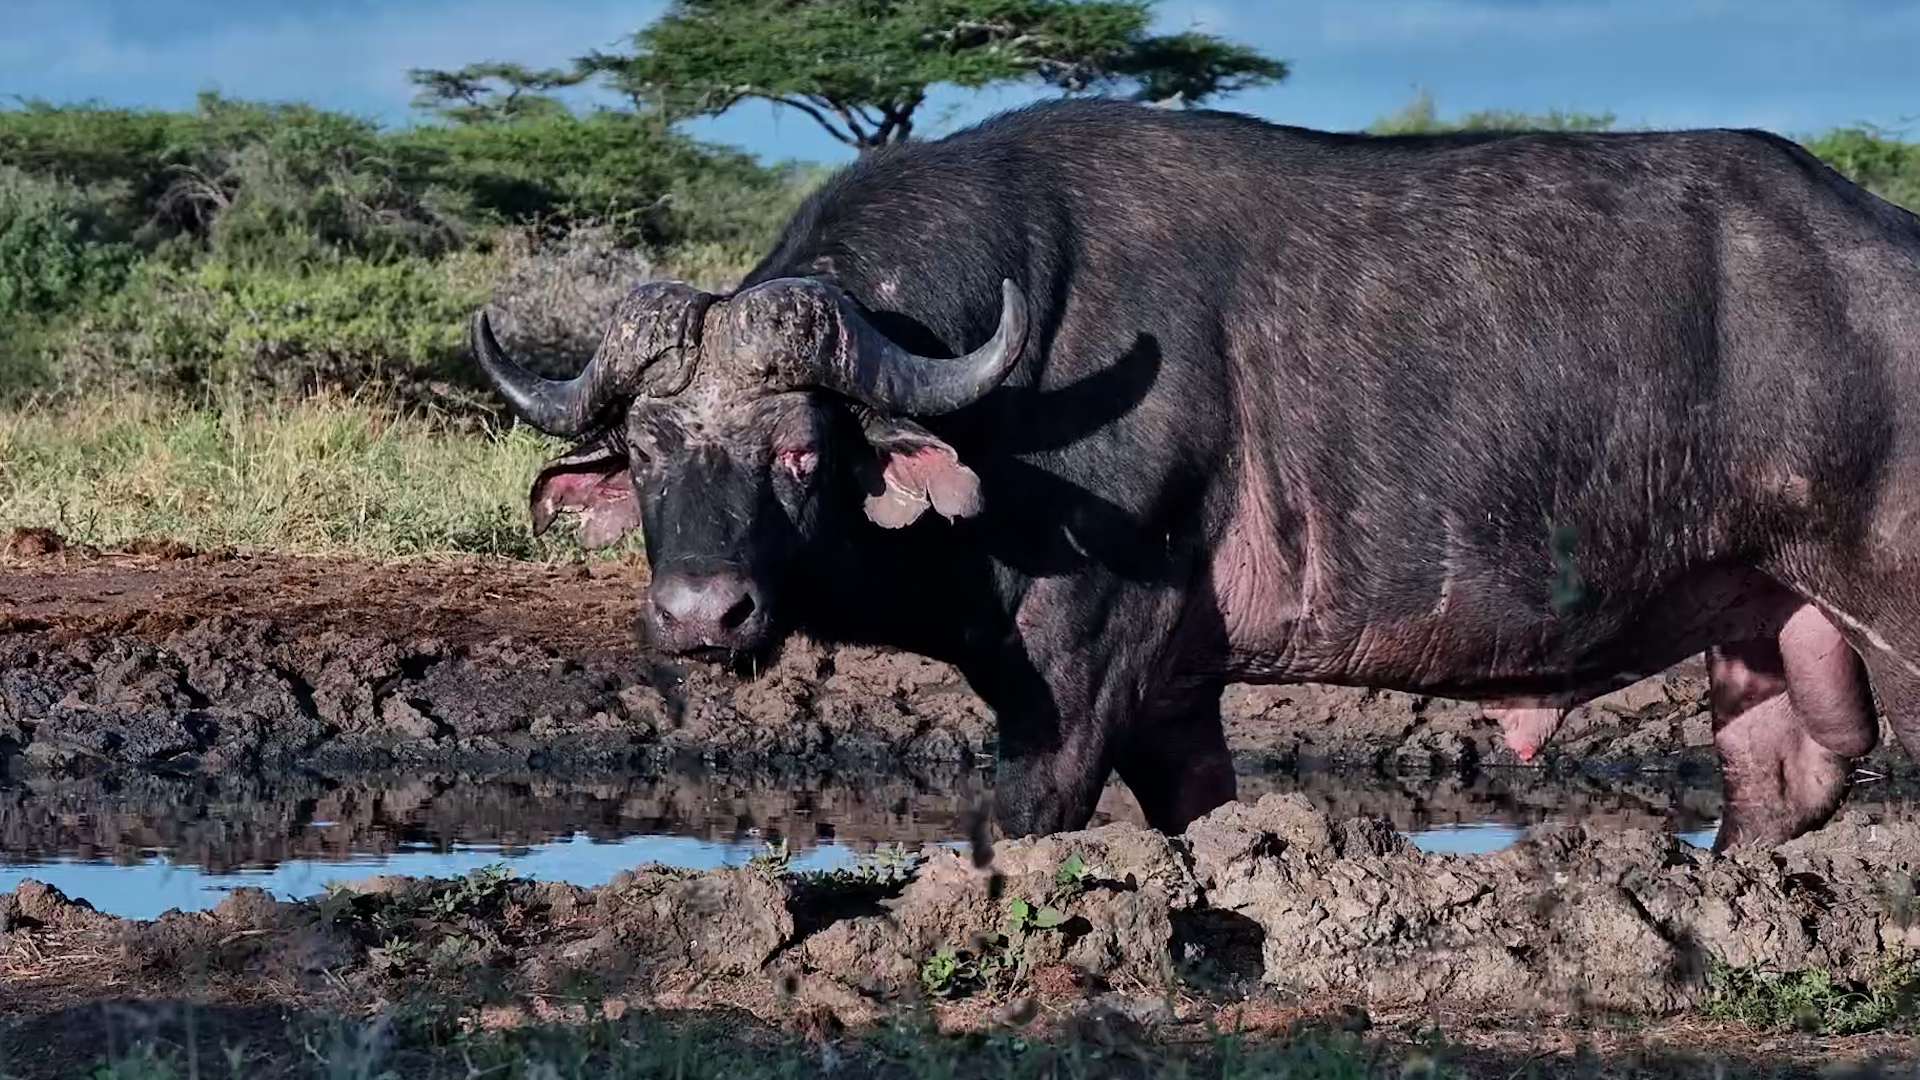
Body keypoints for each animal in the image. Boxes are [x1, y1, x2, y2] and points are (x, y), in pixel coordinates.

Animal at [469, 98, 1920, 853]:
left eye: (799, 448)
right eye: (647, 452)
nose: (698, 616)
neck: (1020, 383)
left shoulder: (1074, 675)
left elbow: (1029, 819)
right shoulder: (1178, 694)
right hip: (1768, 632)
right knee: (1777, 787)